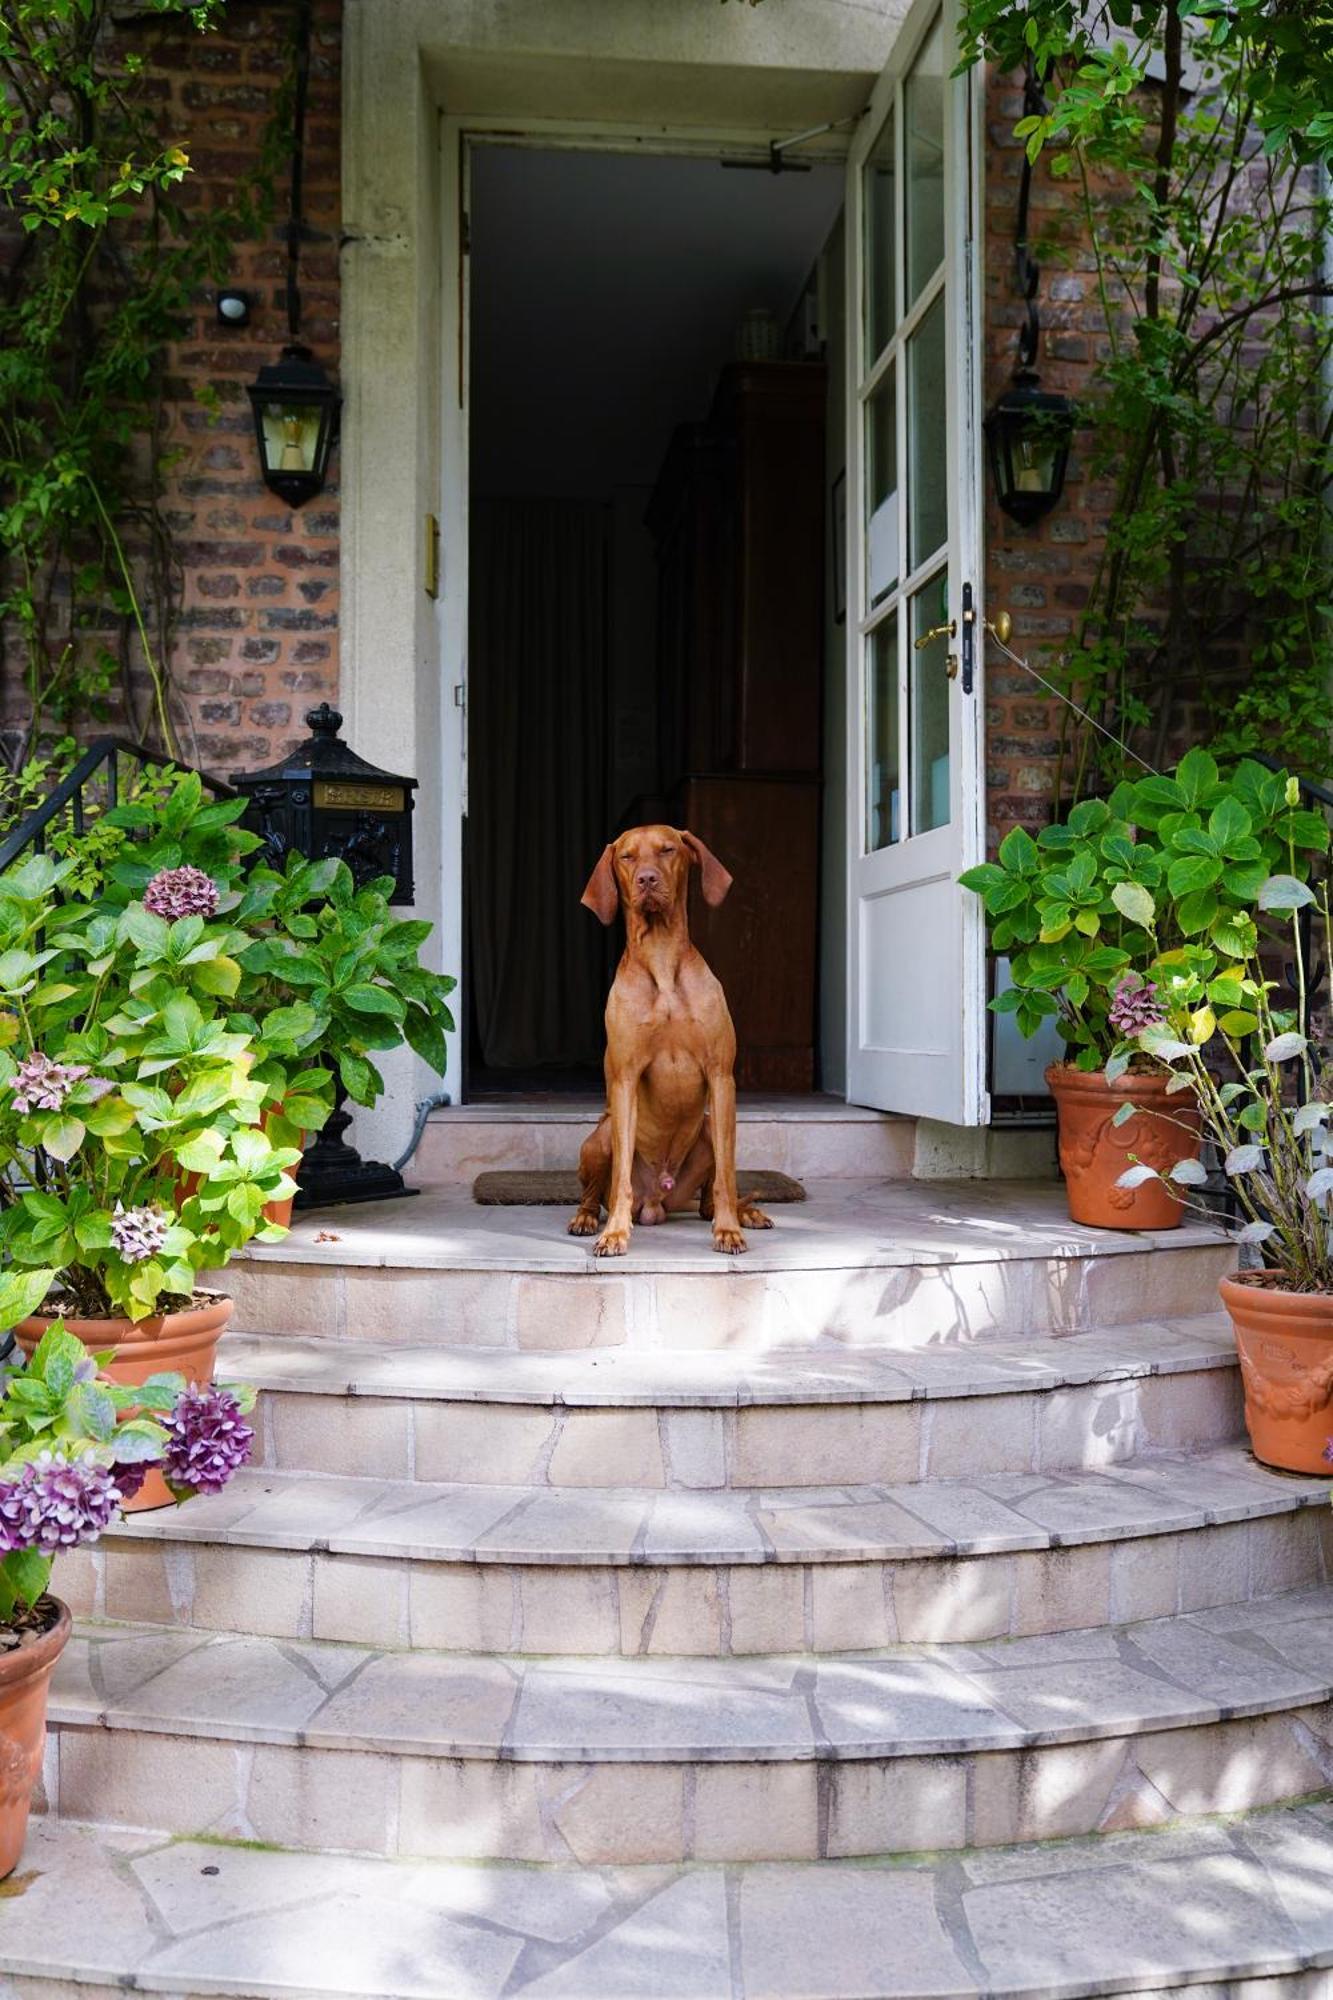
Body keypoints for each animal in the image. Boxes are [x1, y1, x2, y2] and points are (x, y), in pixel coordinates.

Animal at [568, 820, 768, 1256]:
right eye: (627, 856)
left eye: (667, 850)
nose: (647, 879)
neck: (660, 959)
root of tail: (658, 1199)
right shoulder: (624, 1079)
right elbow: (620, 1180)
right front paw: (615, 1233)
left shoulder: (721, 1076)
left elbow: (727, 1178)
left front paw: (729, 1229)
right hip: (600, 1136)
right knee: (596, 1191)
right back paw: (587, 1218)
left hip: (708, 1128)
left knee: (708, 1198)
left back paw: (743, 1213)